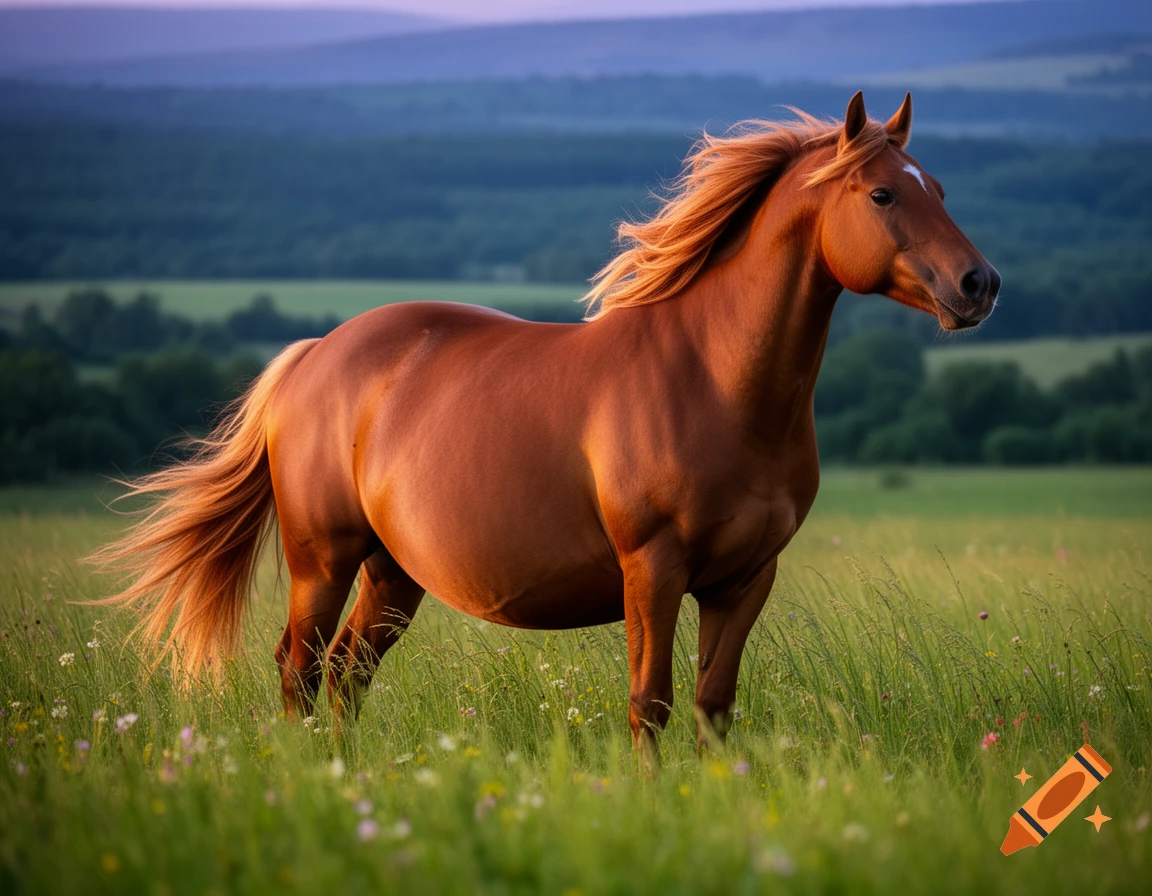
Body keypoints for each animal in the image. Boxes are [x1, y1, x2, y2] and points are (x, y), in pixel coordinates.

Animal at [96, 92, 999, 760]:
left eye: (940, 189)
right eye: (882, 193)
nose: (979, 284)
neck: (714, 381)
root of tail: (316, 355)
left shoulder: (746, 578)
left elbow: (713, 705)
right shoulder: (652, 570)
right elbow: (650, 702)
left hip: (393, 573)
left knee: (348, 673)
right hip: (324, 558)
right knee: (301, 669)